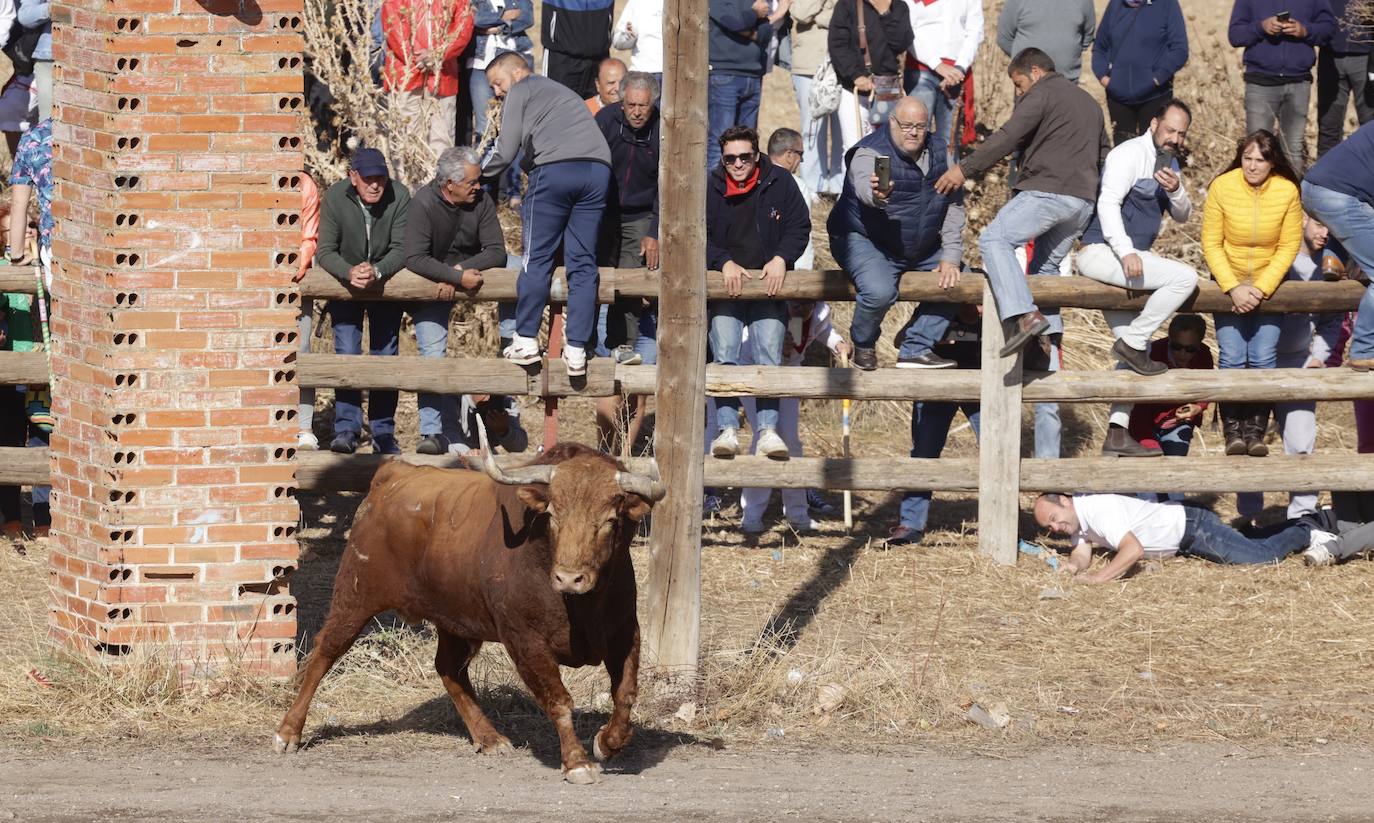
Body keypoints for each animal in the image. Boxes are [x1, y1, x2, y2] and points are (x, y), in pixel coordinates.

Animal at [272, 431, 659, 785]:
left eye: (610, 520)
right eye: (552, 514)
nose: (569, 578)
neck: (580, 605)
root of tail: (392, 474)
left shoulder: (625, 631)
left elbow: (625, 693)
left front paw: (607, 743)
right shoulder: (525, 640)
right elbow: (559, 700)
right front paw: (577, 762)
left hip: (455, 620)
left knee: (448, 668)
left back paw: (489, 737)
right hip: (354, 597)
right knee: (324, 652)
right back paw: (288, 732)